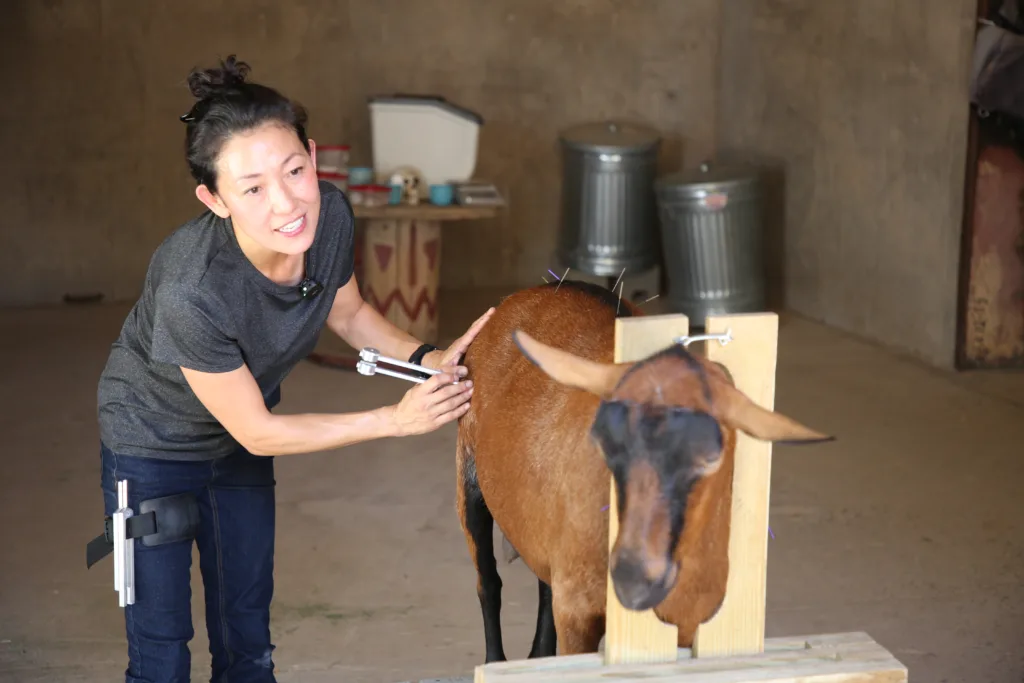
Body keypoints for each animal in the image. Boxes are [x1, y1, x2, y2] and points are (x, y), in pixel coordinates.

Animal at [456, 278, 831, 663]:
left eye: (711, 456)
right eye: (605, 440)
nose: (634, 576)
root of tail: (538, 289)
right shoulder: (576, 612)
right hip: (469, 477)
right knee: (489, 583)